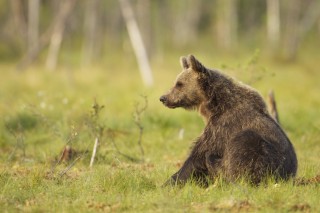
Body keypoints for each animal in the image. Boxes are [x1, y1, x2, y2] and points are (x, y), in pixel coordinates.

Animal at [160, 55, 298, 186]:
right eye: (175, 82)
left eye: (179, 84)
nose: (163, 98)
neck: (215, 105)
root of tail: (288, 178)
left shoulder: (223, 126)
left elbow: (199, 154)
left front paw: (169, 182)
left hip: (267, 157)